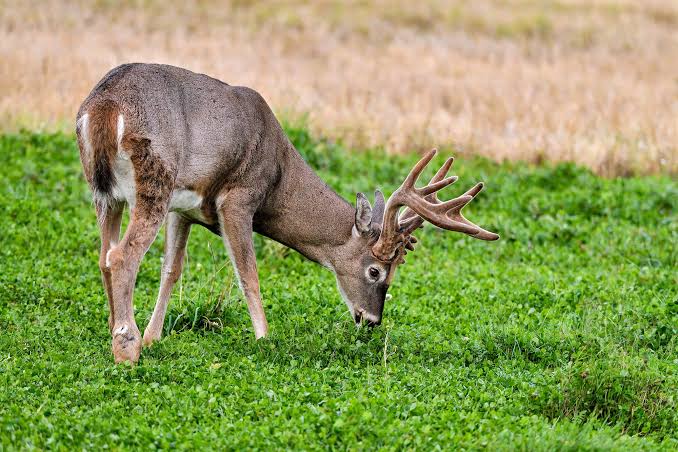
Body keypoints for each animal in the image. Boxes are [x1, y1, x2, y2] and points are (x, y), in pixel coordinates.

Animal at [76, 63, 499, 364]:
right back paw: (126, 349)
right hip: (154, 180)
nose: (371, 320)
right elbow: (248, 274)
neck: (278, 175)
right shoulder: (237, 197)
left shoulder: (186, 206)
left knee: (103, 255)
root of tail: (104, 107)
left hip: (107, 192)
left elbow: (171, 270)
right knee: (122, 255)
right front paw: (265, 339)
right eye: (376, 271)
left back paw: (117, 330)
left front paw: (154, 336)